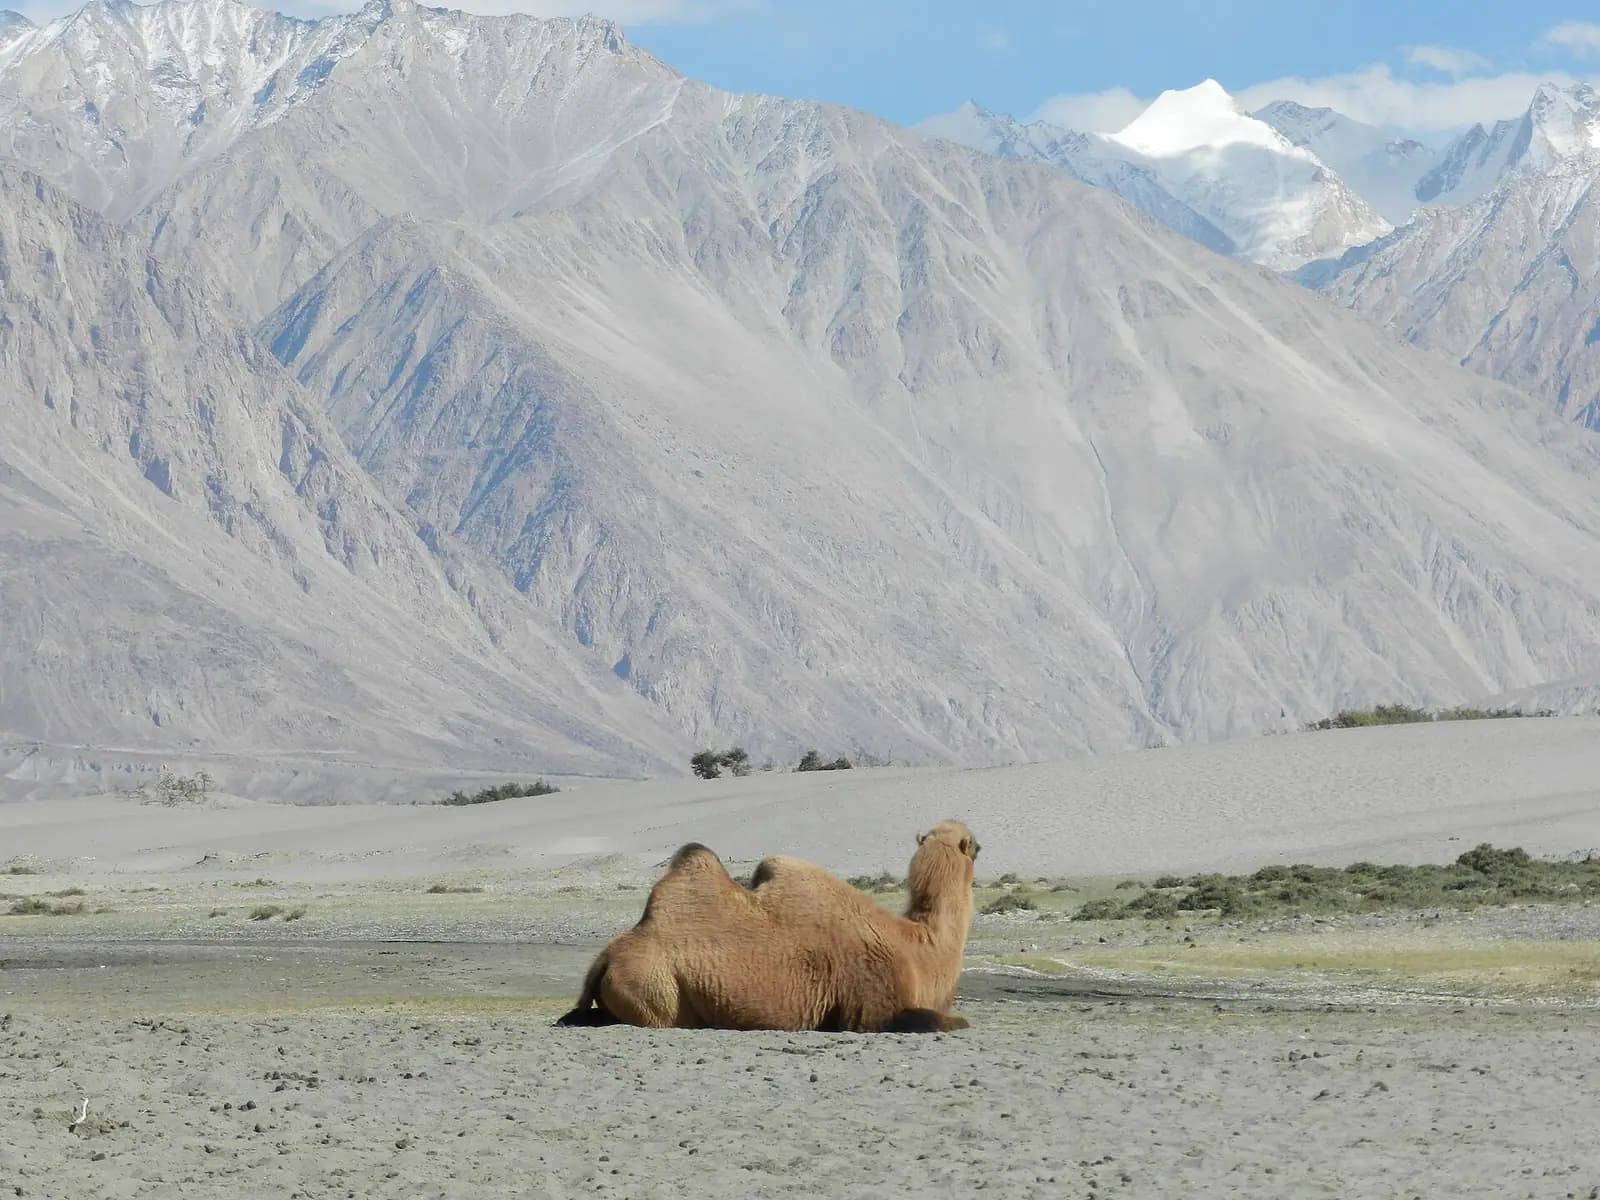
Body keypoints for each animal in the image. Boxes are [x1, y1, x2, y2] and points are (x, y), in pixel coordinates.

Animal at [555, 819, 980, 1033]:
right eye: (974, 843)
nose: (980, 844)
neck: (918, 949)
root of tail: (606, 957)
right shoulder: (871, 1008)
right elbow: (947, 1022)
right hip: (656, 994)